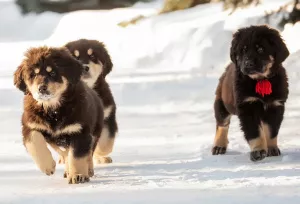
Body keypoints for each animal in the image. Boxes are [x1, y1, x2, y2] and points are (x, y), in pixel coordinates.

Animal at [14, 46, 104, 183]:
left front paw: (78, 175)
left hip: (94, 132)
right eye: (33, 75)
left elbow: (77, 156)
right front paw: (47, 166)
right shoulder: (30, 125)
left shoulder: (80, 131)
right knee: (65, 153)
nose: (42, 88)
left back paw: (88, 170)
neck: (53, 109)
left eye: (52, 73)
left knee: (87, 153)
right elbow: (34, 143)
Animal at [212, 25, 290, 162]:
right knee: (222, 124)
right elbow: (255, 132)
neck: (260, 80)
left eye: (260, 49)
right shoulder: (247, 106)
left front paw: (272, 149)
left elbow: (271, 131)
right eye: (243, 50)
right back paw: (219, 146)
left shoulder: (275, 106)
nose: (248, 64)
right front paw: (258, 151)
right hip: (223, 103)